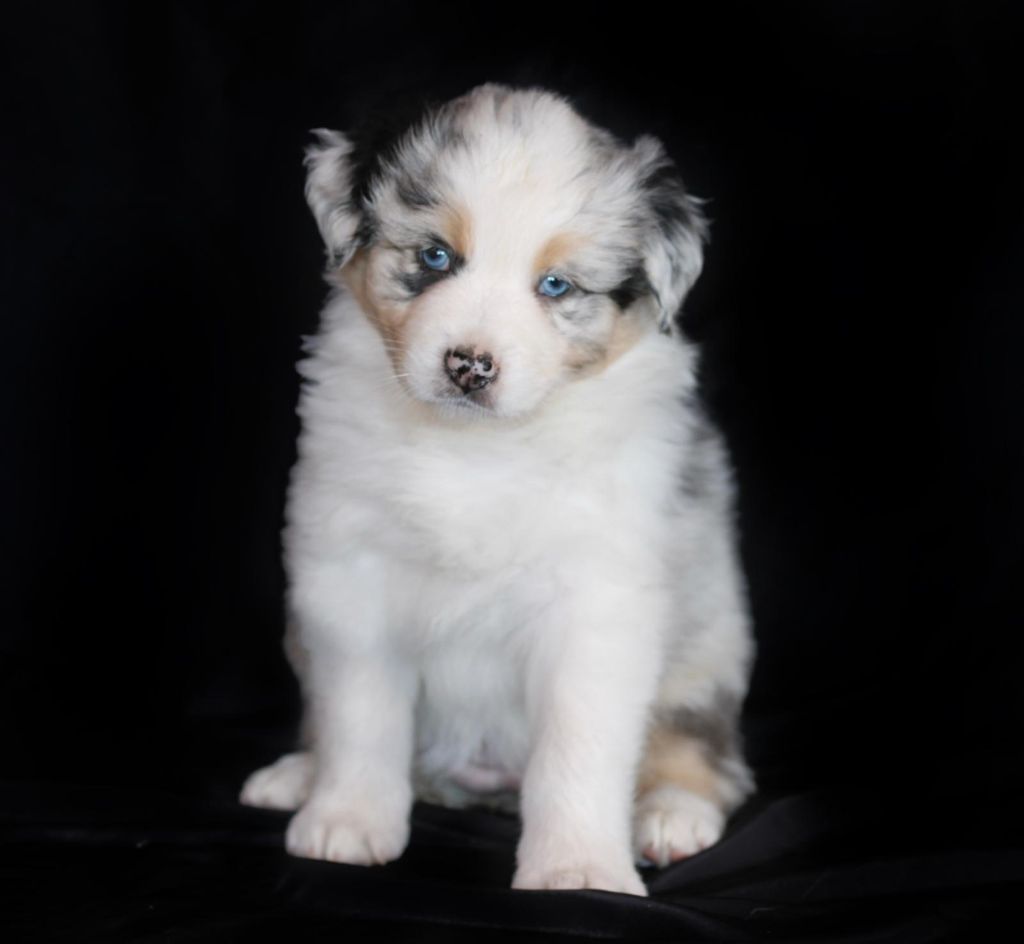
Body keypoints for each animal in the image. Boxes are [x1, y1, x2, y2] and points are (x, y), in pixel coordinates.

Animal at [240, 84, 754, 896]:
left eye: (556, 285)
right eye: (435, 256)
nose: (469, 365)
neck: (476, 447)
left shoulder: (596, 601)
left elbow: (577, 745)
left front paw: (578, 870)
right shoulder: (348, 576)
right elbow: (361, 714)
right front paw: (345, 823)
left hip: (710, 647)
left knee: (701, 749)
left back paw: (671, 816)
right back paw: (296, 776)